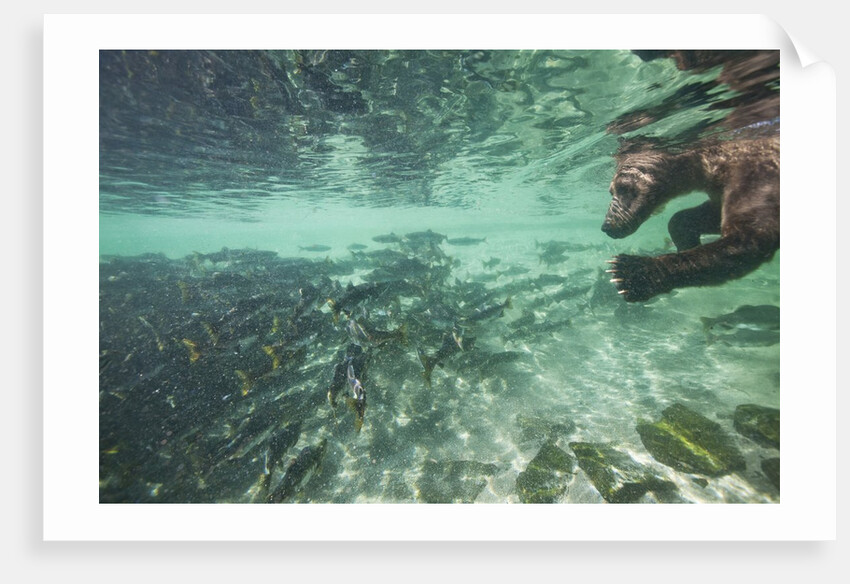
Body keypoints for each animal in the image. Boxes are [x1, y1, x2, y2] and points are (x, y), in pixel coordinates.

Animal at [602, 133, 779, 302]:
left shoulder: (754, 176)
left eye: (623, 188)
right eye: (611, 191)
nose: (607, 226)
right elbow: (703, 216)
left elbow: (748, 236)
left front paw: (631, 273)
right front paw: (687, 242)